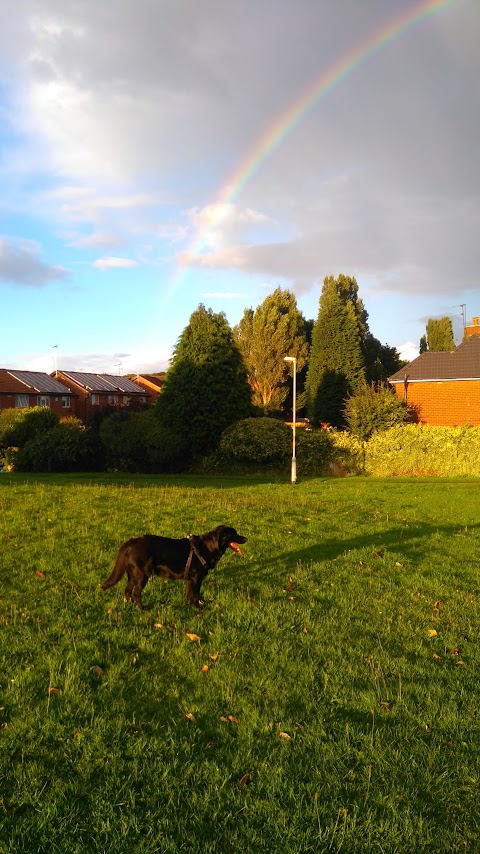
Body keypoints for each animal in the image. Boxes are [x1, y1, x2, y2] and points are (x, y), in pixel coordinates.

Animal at [100, 520, 246, 608]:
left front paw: (189, 607)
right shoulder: (196, 579)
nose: (246, 538)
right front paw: (198, 608)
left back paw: (130, 605)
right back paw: (142, 609)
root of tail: (130, 542)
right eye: (234, 533)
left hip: (133, 575)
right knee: (136, 593)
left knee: (127, 590)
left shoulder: (190, 580)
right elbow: (196, 595)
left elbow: (189, 595)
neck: (209, 546)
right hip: (142, 575)